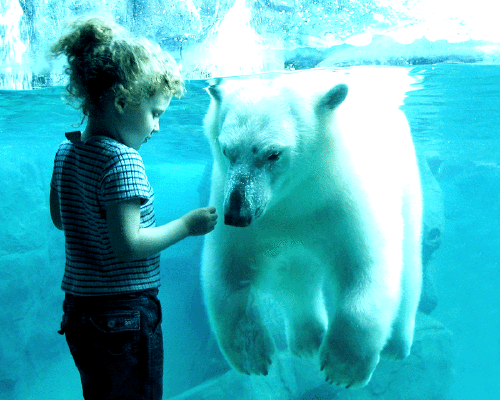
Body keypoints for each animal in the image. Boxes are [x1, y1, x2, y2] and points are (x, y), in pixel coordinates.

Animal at [199, 69, 422, 388]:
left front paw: (343, 368)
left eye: (273, 154)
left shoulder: (345, 198)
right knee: (297, 277)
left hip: (406, 179)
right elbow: (228, 271)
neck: (300, 195)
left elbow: (366, 268)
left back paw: (396, 345)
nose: (237, 214)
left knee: (410, 265)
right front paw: (253, 356)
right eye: (227, 150)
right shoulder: (237, 204)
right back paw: (308, 339)